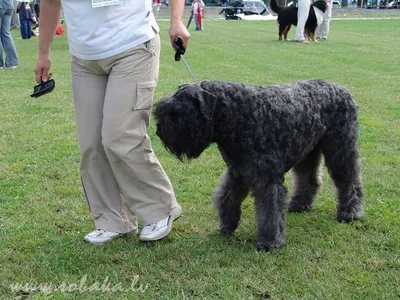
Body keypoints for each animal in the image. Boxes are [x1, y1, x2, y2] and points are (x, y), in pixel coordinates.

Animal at [154, 79, 366, 251]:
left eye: (177, 113)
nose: (159, 132)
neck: (237, 115)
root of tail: (342, 89)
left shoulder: (267, 179)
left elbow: (270, 210)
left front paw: (270, 242)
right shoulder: (237, 172)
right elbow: (226, 197)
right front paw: (227, 225)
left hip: (340, 150)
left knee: (349, 181)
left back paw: (350, 213)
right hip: (308, 152)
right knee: (309, 178)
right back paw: (300, 204)